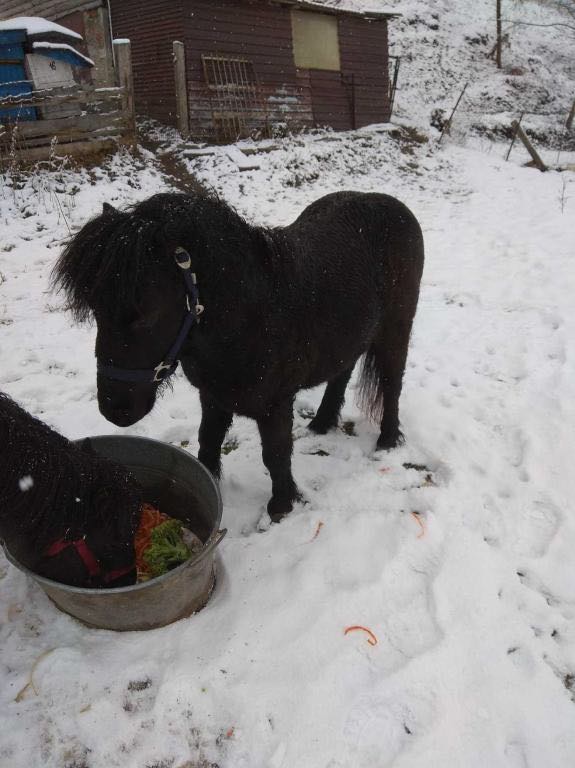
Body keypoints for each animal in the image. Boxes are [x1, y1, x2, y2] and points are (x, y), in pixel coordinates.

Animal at [54, 189, 426, 520]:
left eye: (145, 313)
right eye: (96, 309)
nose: (113, 409)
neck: (252, 315)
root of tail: (389, 203)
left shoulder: (275, 404)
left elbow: (275, 454)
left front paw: (281, 507)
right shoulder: (213, 396)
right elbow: (208, 442)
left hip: (396, 329)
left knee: (392, 381)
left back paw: (387, 439)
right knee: (342, 371)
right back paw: (321, 423)